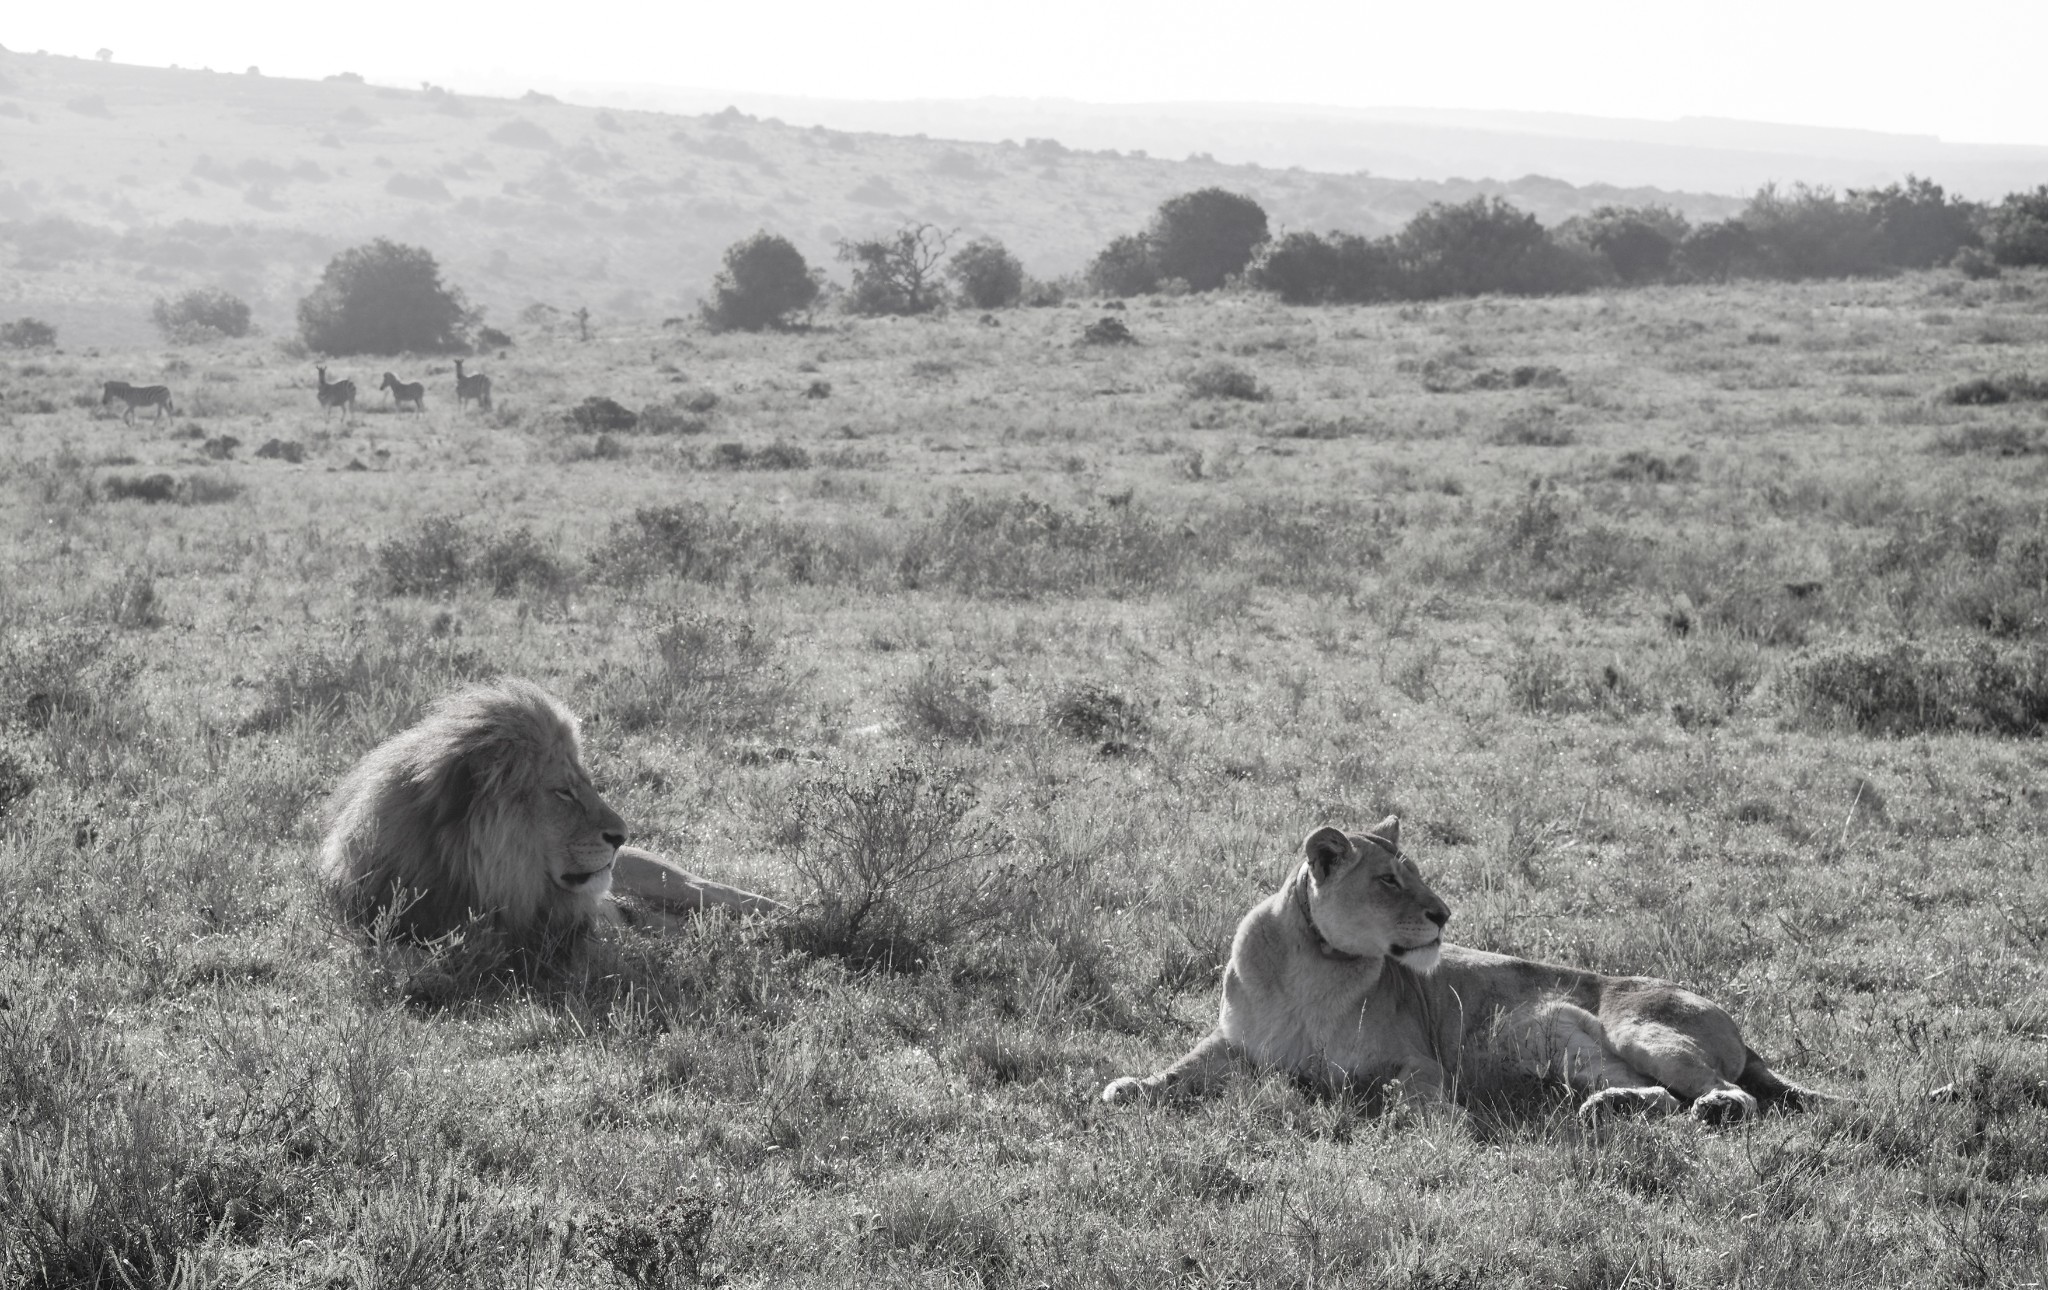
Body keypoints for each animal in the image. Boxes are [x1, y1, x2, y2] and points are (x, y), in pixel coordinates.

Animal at [317, 683, 782, 954]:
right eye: (563, 791)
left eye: (586, 783)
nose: (622, 836)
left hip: (673, 880)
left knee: (731, 898)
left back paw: (791, 918)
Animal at [1114, 823, 1835, 1130]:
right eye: (1388, 879)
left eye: (1418, 874)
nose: (1444, 912)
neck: (1310, 964)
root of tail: (1733, 1022)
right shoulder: (1234, 1042)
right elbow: (1180, 1068)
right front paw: (1130, 1088)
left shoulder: (1421, 1061)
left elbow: (1401, 1093)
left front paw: (1419, 1113)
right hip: (1573, 1048)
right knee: (1655, 1097)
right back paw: (1608, 1108)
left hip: (1648, 1031)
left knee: (1731, 1096)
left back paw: (1715, 1108)